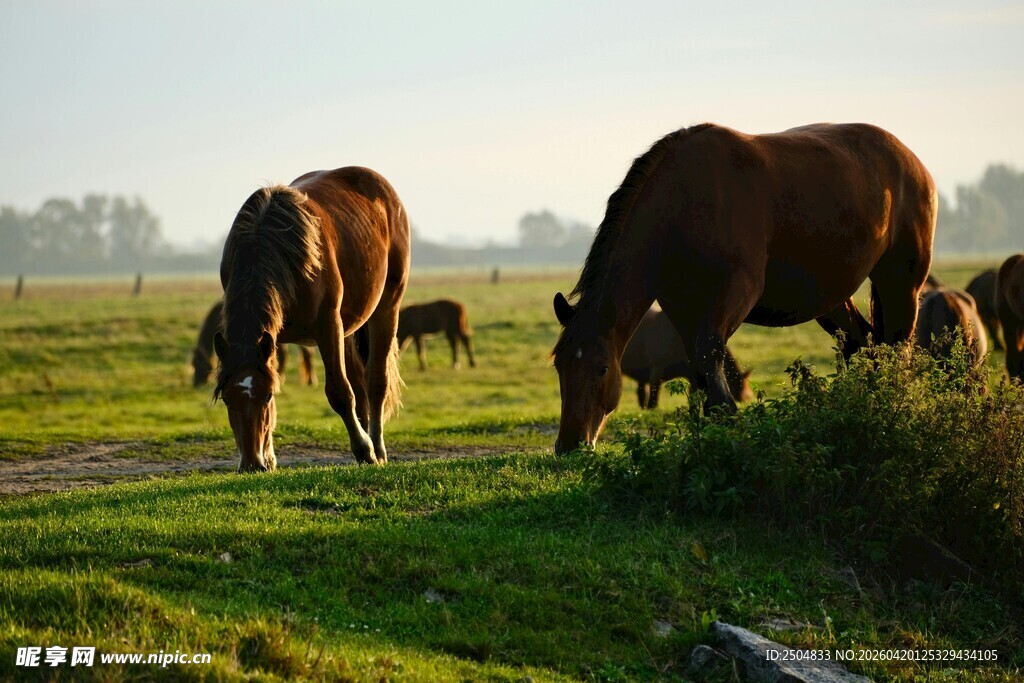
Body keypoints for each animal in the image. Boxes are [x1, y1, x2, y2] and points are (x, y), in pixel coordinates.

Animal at [213, 167, 409, 471]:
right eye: (226, 398)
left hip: (387, 307)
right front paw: (270, 457)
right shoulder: (271, 338)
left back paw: (377, 448)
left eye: (266, 396)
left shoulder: (328, 325)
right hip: (349, 327)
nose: (251, 464)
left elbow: (340, 393)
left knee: (376, 383)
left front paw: (364, 450)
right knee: (360, 382)